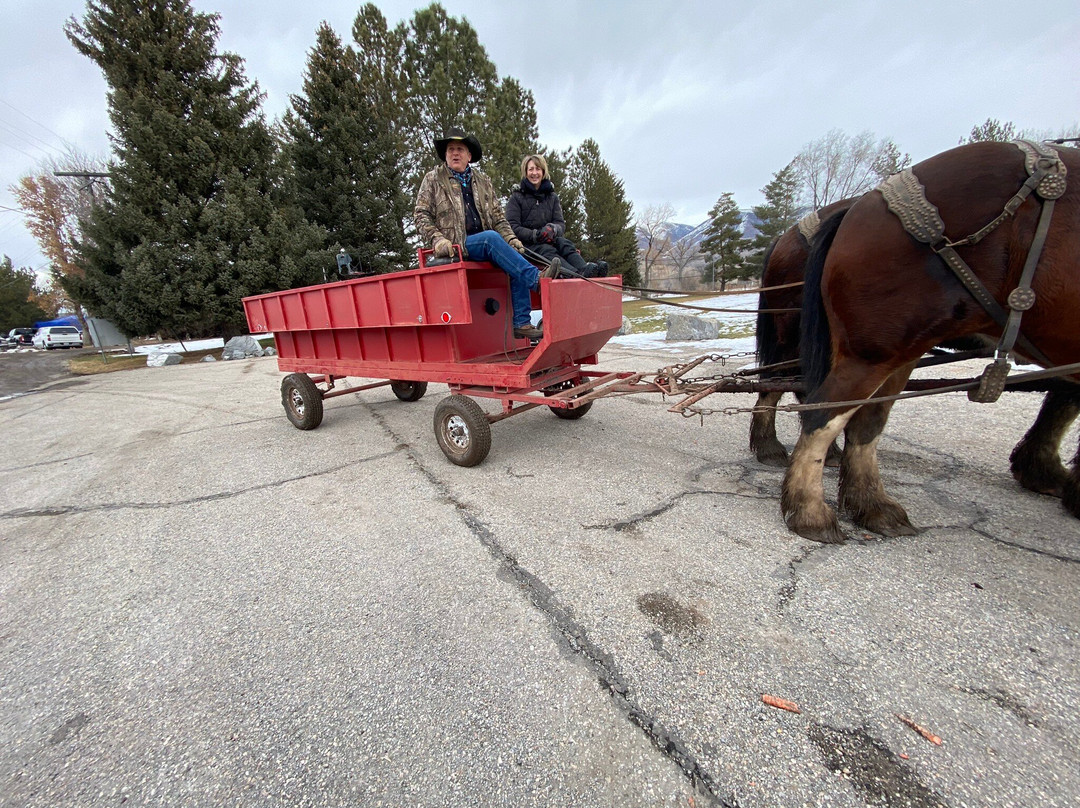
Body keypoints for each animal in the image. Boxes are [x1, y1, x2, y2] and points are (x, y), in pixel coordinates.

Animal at [786, 140, 1080, 542]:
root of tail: (861, 205)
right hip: (877, 348)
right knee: (825, 414)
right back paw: (810, 512)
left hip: (902, 350)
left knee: (867, 419)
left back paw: (873, 506)